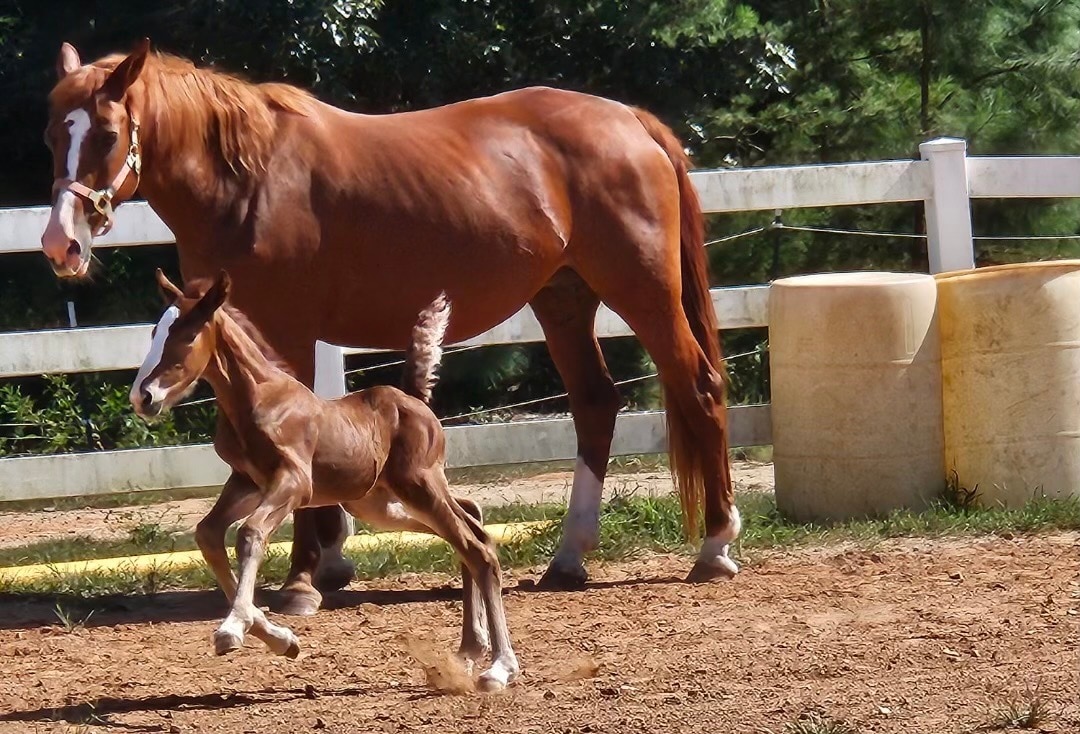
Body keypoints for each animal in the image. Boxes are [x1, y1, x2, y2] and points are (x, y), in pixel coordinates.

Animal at [41, 39, 742, 616]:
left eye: (107, 132)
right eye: (52, 134)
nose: (60, 244)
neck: (249, 181)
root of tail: (630, 120)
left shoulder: (286, 329)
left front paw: (301, 582)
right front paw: (328, 563)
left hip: (643, 291)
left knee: (698, 385)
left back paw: (715, 545)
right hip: (564, 298)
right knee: (595, 403)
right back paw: (568, 558)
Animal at [131, 268, 519, 690]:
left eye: (187, 334)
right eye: (154, 333)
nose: (142, 397)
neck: (261, 399)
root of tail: (413, 399)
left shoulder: (294, 482)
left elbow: (249, 534)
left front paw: (231, 629)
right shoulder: (246, 483)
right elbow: (208, 534)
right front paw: (281, 640)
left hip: (419, 486)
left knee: (476, 547)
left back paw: (500, 667)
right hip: (379, 504)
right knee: (471, 523)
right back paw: (470, 649)